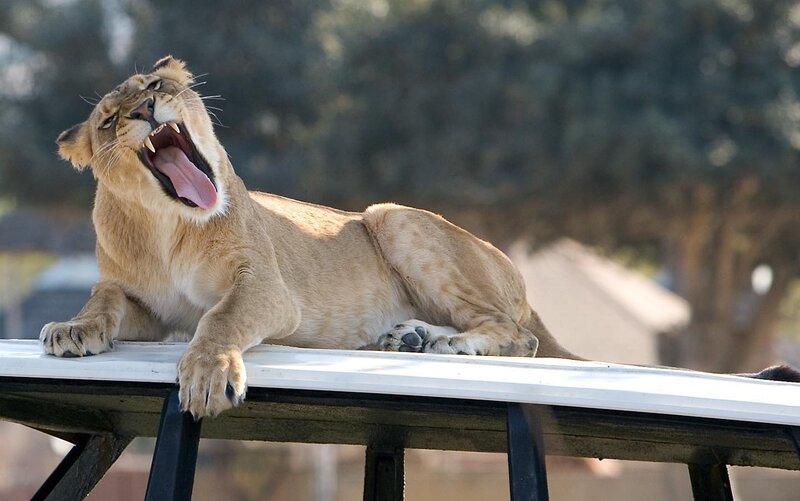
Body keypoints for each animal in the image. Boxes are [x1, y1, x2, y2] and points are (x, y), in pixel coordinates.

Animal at [42, 57, 797, 418]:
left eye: (157, 83)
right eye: (108, 121)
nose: (148, 107)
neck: (169, 225)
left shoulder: (267, 287)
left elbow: (219, 319)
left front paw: (205, 373)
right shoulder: (139, 300)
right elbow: (104, 299)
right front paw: (71, 329)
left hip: (392, 215)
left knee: (518, 337)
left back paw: (443, 342)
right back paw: (408, 338)